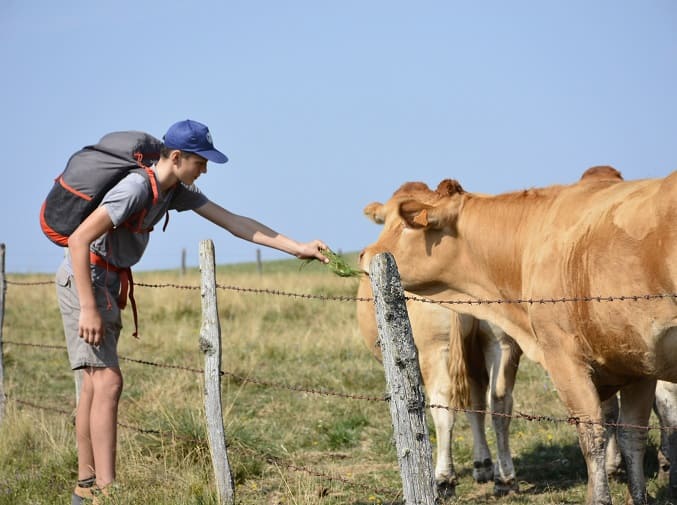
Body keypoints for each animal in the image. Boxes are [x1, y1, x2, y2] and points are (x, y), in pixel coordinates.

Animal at [360, 170, 676, 504]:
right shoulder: (636, 365)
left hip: (441, 349)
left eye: (405, 223)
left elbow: (592, 435)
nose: (365, 254)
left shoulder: (566, 360)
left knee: (445, 403)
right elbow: (632, 435)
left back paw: (446, 479)